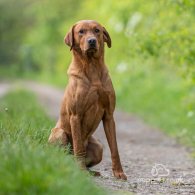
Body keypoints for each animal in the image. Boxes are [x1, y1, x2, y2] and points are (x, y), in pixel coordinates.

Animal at [48, 19, 127, 180]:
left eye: (97, 30)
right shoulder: (75, 115)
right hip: (59, 134)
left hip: (98, 147)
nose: (92, 41)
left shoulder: (109, 115)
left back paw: (92, 172)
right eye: (81, 32)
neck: (92, 67)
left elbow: (114, 148)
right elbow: (78, 147)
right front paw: (81, 171)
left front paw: (119, 172)